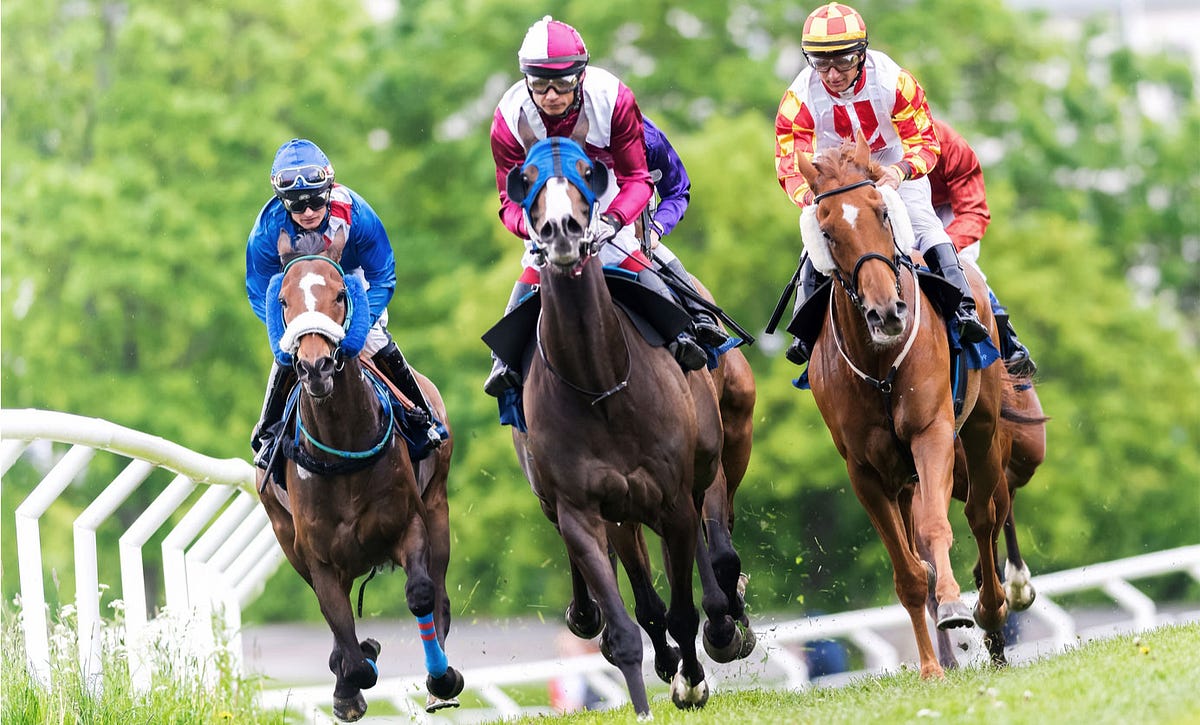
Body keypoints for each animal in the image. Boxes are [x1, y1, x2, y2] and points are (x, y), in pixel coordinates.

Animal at [255, 229, 463, 721]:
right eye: (284, 301)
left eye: (339, 294)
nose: (315, 366)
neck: (342, 446)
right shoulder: (318, 556)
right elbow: (341, 633)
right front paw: (352, 679)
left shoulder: (408, 523)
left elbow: (421, 594)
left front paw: (440, 678)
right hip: (285, 534)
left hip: (438, 504)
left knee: (439, 595)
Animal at [503, 137, 753, 716]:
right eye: (525, 183)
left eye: (587, 175)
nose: (562, 232)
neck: (600, 384)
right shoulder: (586, 506)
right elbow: (629, 622)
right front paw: (653, 690)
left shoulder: (677, 491)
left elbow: (696, 589)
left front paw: (698, 669)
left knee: (711, 545)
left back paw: (724, 623)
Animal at [793, 130, 1012, 679]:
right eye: (827, 231)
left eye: (882, 213)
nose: (887, 313)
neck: (880, 360)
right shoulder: (864, 470)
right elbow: (908, 571)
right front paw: (931, 668)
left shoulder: (930, 434)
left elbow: (937, 529)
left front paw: (957, 606)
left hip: (981, 426)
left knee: (982, 515)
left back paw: (991, 609)